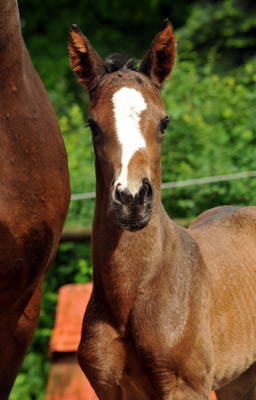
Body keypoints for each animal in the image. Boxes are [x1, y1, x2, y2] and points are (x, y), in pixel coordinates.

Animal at [69, 19, 256, 400]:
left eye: (165, 122)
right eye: (93, 125)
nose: (132, 199)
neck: (132, 294)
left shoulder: (187, 388)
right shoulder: (108, 388)